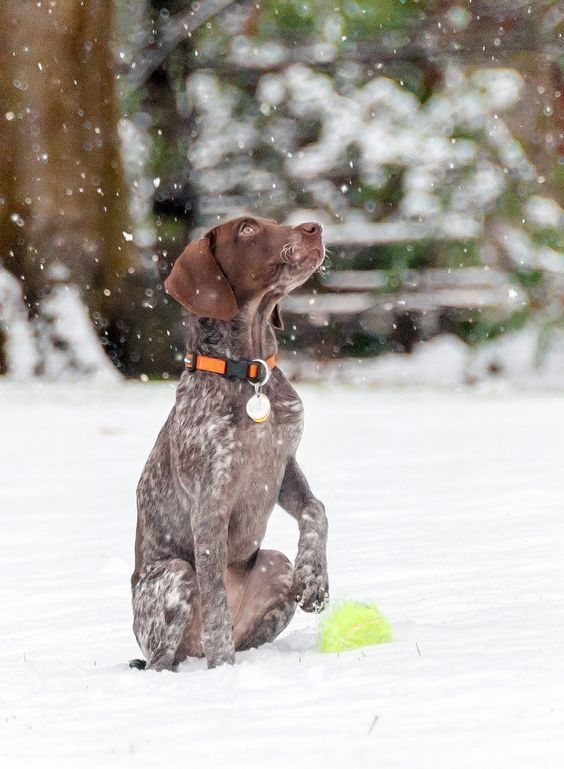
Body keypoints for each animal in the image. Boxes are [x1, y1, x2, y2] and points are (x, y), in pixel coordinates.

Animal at [131, 214, 328, 664]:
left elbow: (317, 510)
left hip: (275, 565)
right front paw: (224, 670)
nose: (314, 227)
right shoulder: (210, 504)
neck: (249, 372)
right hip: (175, 577)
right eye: (248, 230)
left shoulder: (284, 468)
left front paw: (314, 578)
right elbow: (216, 605)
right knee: (164, 660)